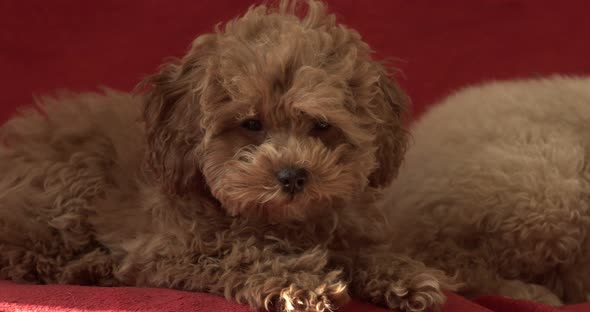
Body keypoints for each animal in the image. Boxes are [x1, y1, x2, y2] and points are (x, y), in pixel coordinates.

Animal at [0, 1, 458, 310]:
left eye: (321, 125)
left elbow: (361, 248)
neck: (280, 222)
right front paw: (298, 280)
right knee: (21, 253)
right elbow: (238, 253)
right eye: (251, 124)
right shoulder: (171, 248)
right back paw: (91, 267)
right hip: (71, 181)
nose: (292, 175)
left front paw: (403, 274)